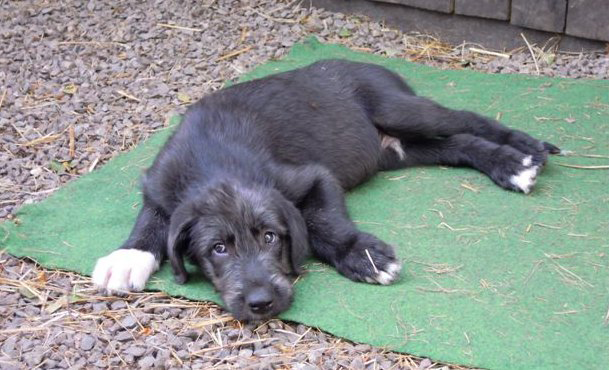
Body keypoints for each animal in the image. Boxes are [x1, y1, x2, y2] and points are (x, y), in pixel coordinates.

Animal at [91, 59, 560, 320]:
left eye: (270, 237)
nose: (261, 302)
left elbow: (321, 222)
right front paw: (128, 255)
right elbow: (153, 218)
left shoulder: (312, 178)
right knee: (459, 144)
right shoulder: (159, 184)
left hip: (400, 108)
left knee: (468, 120)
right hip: (402, 149)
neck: (211, 161)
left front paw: (362, 255)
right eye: (218, 250)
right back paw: (508, 165)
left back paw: (525, 151)